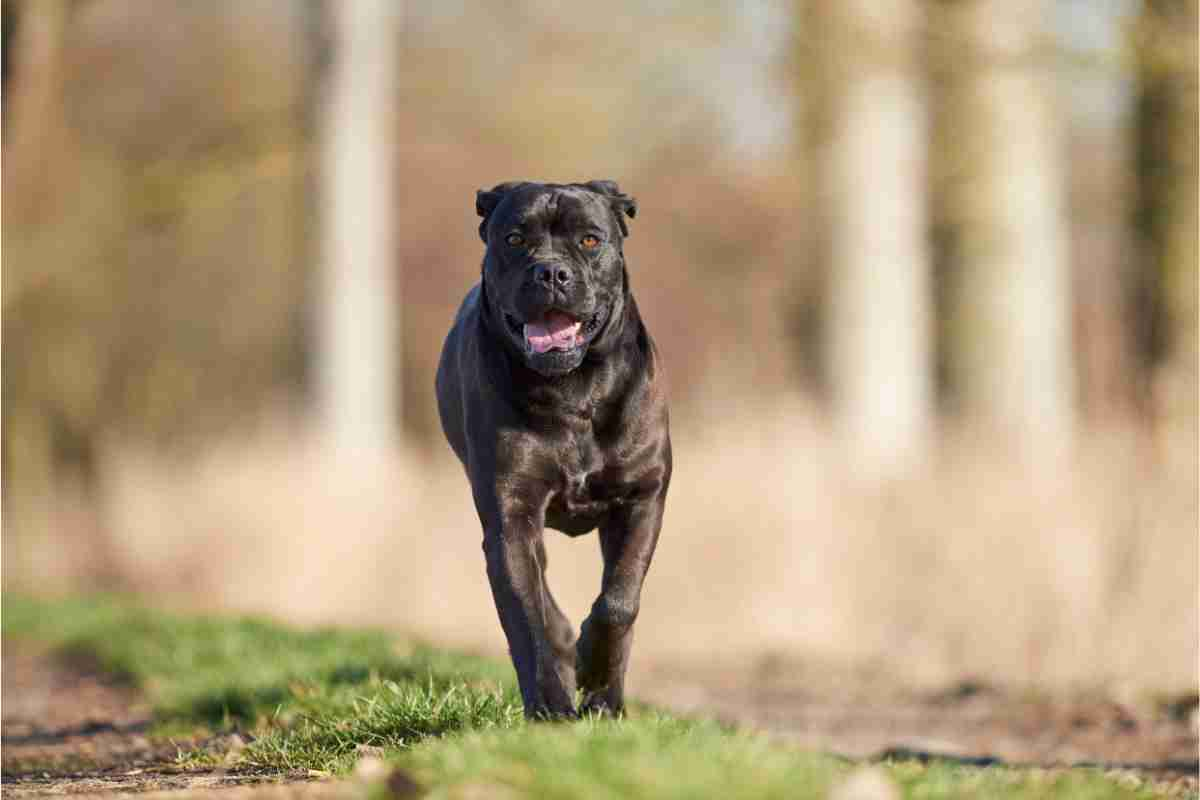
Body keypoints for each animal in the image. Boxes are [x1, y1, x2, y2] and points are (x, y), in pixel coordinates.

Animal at [436, 181, 672, 719]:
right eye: (515, 238)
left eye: (589, 239)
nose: (550, 271)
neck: (573, 390)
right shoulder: (511, 516)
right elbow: (527, 619)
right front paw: (550, 708)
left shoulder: (642, 496)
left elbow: (619, 600)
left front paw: (595, 672)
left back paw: (606, 697)